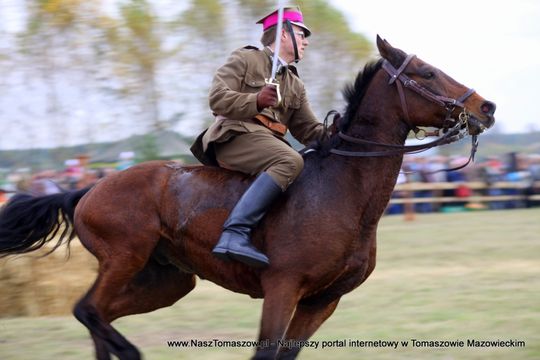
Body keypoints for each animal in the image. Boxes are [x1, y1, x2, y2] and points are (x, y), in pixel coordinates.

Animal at [2, 37, 496, 360]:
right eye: (426, 72)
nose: (486, 107)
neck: (343, 189)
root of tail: (90, 188)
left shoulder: (320, 302)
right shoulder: (283, 289)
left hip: (166, 281)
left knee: (99, 316)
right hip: (124, 258)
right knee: (87, 310)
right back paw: (130, 351)